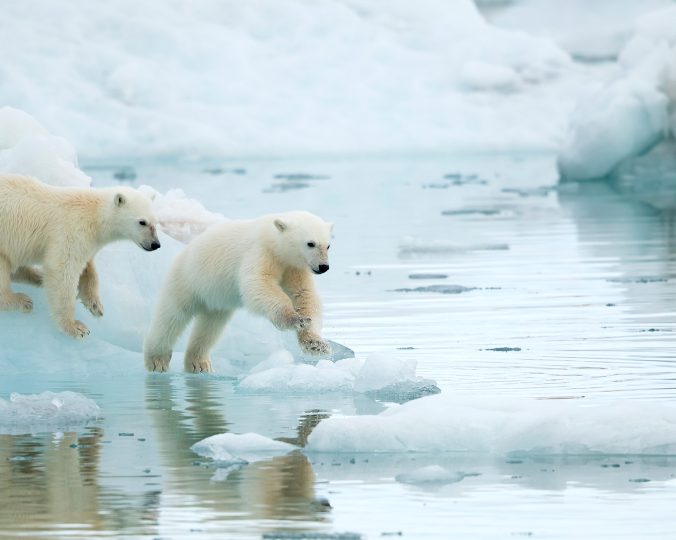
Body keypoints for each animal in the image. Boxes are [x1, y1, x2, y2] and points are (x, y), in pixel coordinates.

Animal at [0, 174, 161, 338]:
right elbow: (63, 270)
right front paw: (75, 327)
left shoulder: (88, 240)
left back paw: (37, 277)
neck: (95, 215)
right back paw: (22, 301)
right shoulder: (72, 231)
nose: (156, 244)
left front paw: (95, 305)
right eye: (142, 222)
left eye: (156, 222)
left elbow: (89, 268)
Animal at [144, 210, 333, 373]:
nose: (323, 267)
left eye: (328, 245)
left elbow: (303, 295)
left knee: (210, 327)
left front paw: (316, 344)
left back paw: (199, 363)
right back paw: (157, 359)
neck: (273, 241)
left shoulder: (294, 267)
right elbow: (258, 284)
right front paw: (294, 319)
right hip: (187, 280)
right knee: (172, 317)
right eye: (310, 243)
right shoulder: (260, 252)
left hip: (216, 300)